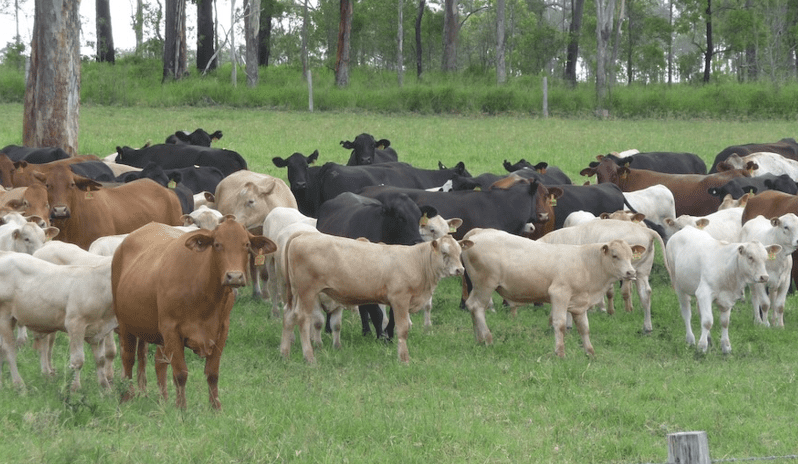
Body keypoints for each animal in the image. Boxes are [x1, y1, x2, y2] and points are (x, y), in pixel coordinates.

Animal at [0, 251, 117, 390]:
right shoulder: (75, 324)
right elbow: (78, 361)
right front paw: (75, 388)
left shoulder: (99, 331)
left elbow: (100, 360)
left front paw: (106, 388)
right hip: (4, 316)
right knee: (8, 349)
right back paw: (19, 385)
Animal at [112, 219, 275, 409]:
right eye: (217, 244)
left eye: (246, 245)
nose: (234, 277)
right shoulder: (171, 330)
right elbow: (180, 373)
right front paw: (182, 409)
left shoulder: (222, 330)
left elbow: (212, 373)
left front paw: (215, 408)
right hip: (126, 325)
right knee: (128, 360)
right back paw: (126, 397)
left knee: (159, 361)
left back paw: (163, 399)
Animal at [281, 233, 470, 363]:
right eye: (444, 252)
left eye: (460, 252)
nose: (460, 270)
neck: (416, 262)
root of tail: (303, 235)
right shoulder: (399, 299)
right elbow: (402, 328)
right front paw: (404, 359)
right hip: (307, 292)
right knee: (303, 320)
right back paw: (309, 357)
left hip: (296, 294)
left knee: (289, 317)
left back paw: (285, 353)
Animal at [316, 192, 439, 339]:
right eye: (400, 217)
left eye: (418, 218)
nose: (417, 242)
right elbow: (376, 312)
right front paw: (381, 336)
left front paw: (389, 335)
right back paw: (331, 328)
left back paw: (366, 331)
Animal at [461, 228, 641, 357]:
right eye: (615, 255)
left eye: (631, 256)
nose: (631, 272)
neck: (586, 263)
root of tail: (478, 232)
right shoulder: (559, 294)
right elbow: (560, 324)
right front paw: (560, 352)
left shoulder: (580, 304)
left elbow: (584, 328)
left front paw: (590, 352)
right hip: (485, 284)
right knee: (477, 307)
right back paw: (487, 339)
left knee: (471, 306)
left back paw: (478, 339)